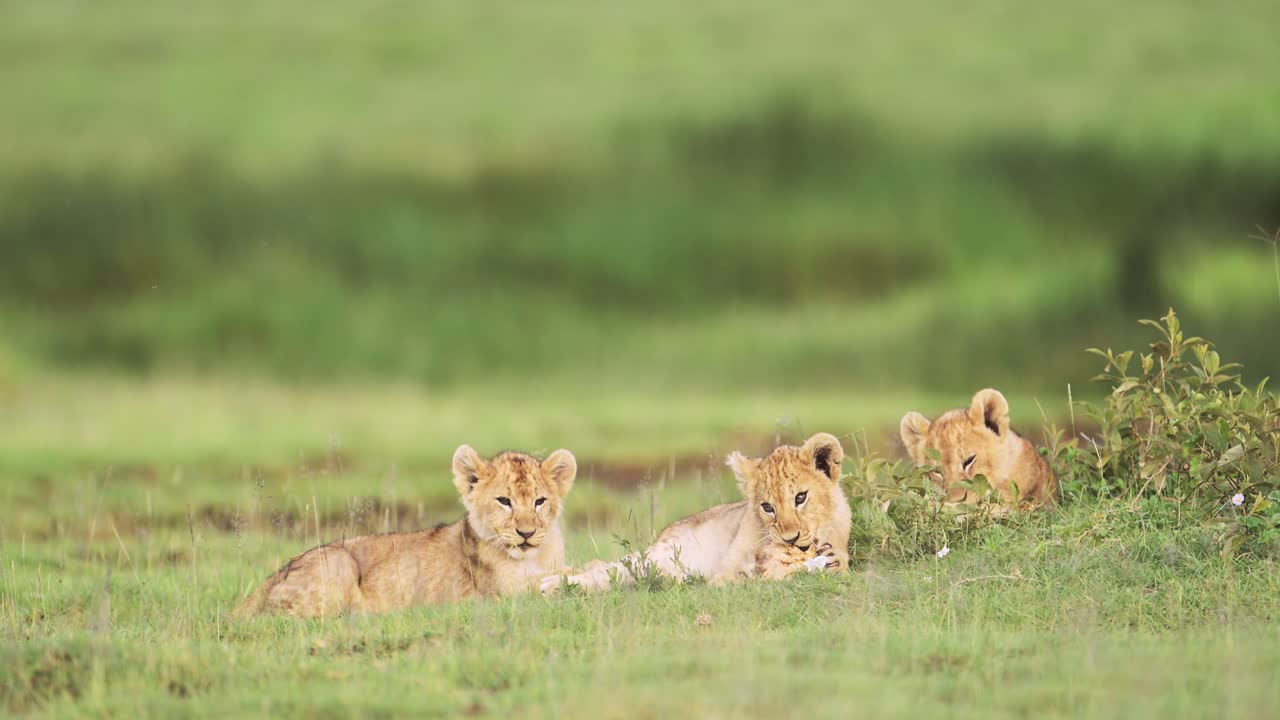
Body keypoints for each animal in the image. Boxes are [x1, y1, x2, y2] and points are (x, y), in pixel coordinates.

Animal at [233, 445, 576, 618]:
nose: (526, 533)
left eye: (540, 501)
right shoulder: (499, 593)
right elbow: (543, 587)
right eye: (504, 501)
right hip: (338, 563)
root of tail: (262, 586)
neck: (534, 556)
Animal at [540, 433, 851, 595]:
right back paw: (551, 584)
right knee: (604, 570)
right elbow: (733, 578)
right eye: (767, 507)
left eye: (800, 497)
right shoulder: (729, 567)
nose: (790, 538)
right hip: (651, 558)